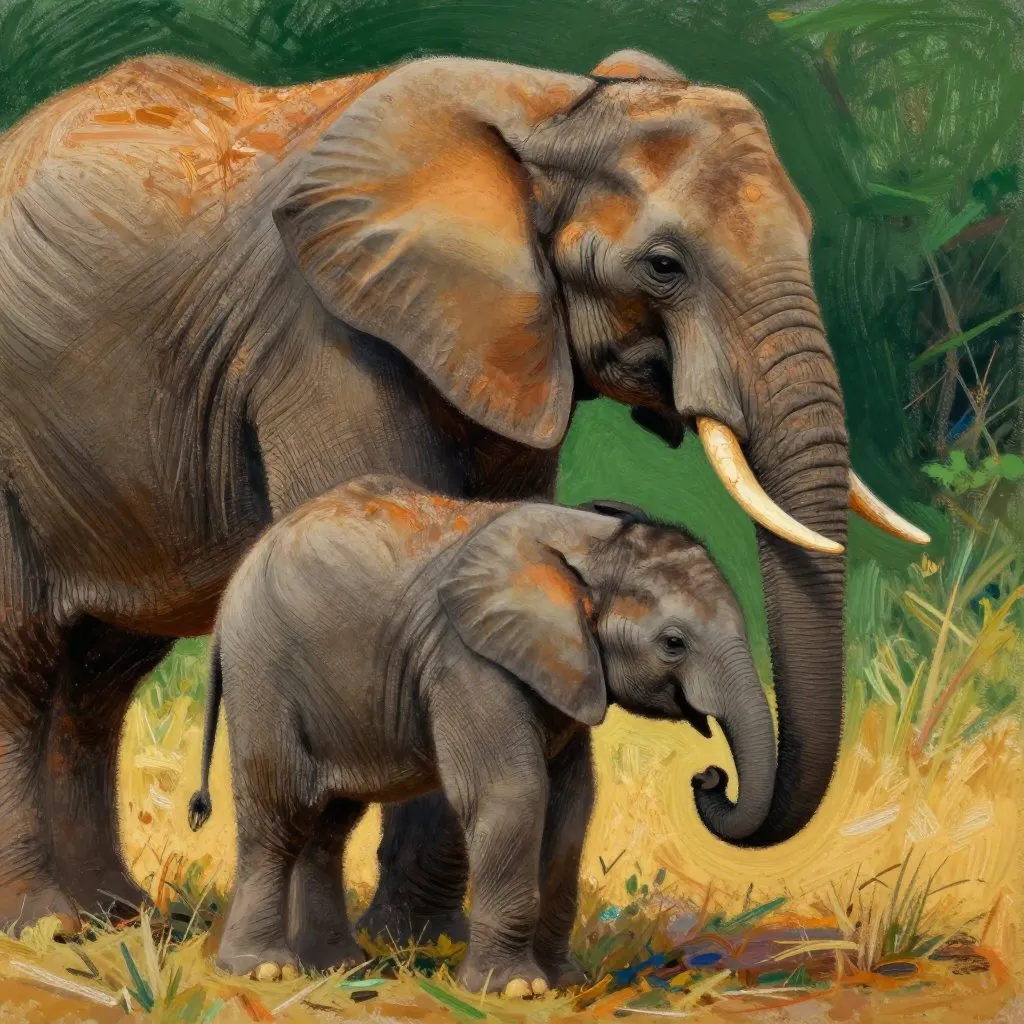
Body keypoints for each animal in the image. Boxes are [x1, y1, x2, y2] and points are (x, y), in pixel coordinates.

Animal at [0, 46, 928, 935]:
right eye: (665, 267)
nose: (709, 781)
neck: (555, 111)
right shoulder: (323, 333)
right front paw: (414, 943)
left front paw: (418, 939)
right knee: (23, 660)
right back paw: (49, 926)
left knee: (102, 674)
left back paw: (115, 915)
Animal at [186, 475, 772, 993]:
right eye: (673, 643)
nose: (709, 775)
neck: (590, 545)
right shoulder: (466, 658)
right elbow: (513, 794)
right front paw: (514, 989)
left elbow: (572, 806)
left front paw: (565, 982)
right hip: (264, 670)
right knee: (281, 810)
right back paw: (265, 970)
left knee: (329, 823)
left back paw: (335, 967)